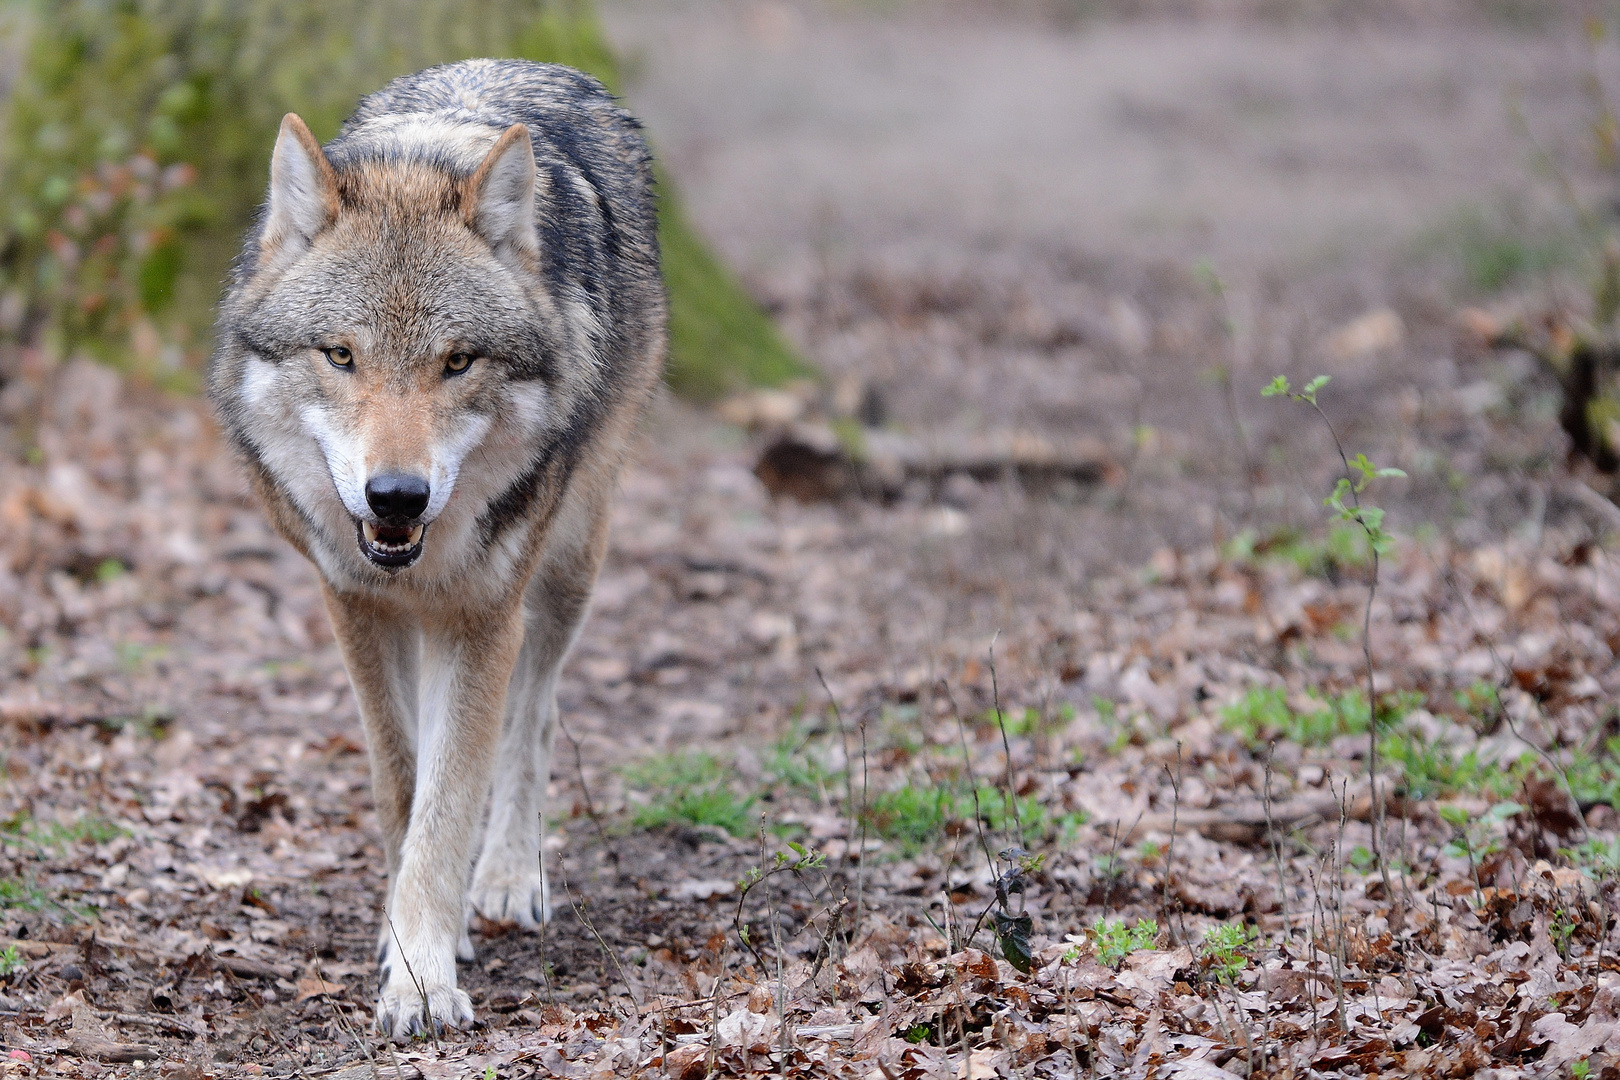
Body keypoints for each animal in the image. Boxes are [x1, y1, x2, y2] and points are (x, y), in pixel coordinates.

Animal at [208, 59, 664, 1036]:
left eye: (457, 362)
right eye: (341, 355)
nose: (397, 495)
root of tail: (534, 65)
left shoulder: (483, 615)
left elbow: (453, 798)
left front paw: (422, 976)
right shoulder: (355, 603)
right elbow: (404, 786)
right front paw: (410, 942)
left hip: (569, 562)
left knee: (535, 715)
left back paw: (508, 878)